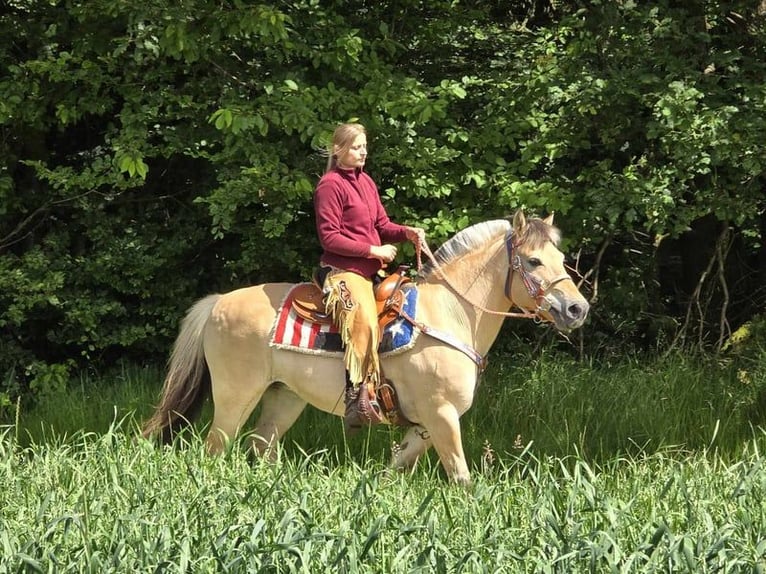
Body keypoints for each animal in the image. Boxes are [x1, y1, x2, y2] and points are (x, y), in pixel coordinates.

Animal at [141, 212, 592, 486]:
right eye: (533, 261)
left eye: (560, 256)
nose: (577, 308)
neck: (451, 312)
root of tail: (217, 302)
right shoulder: (443, 416)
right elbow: (461, 477)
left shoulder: (425, 424)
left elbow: (397, 467)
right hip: (235, 395)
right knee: (216, 448)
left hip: (284, 398)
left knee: (261, 446)